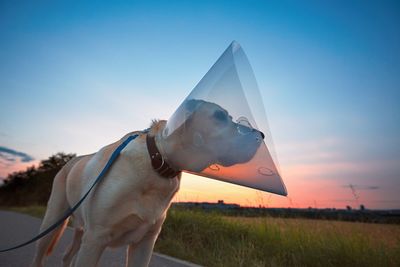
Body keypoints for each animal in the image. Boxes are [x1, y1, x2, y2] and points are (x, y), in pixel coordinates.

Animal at [32, 99, 264, 266]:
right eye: (219, 116)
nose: (261, 135)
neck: (158, 162)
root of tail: (71, 161)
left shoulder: (144, 244)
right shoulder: (96, 238)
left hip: (80, 230)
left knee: (67, 255)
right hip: (52, 223)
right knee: (40, 256)